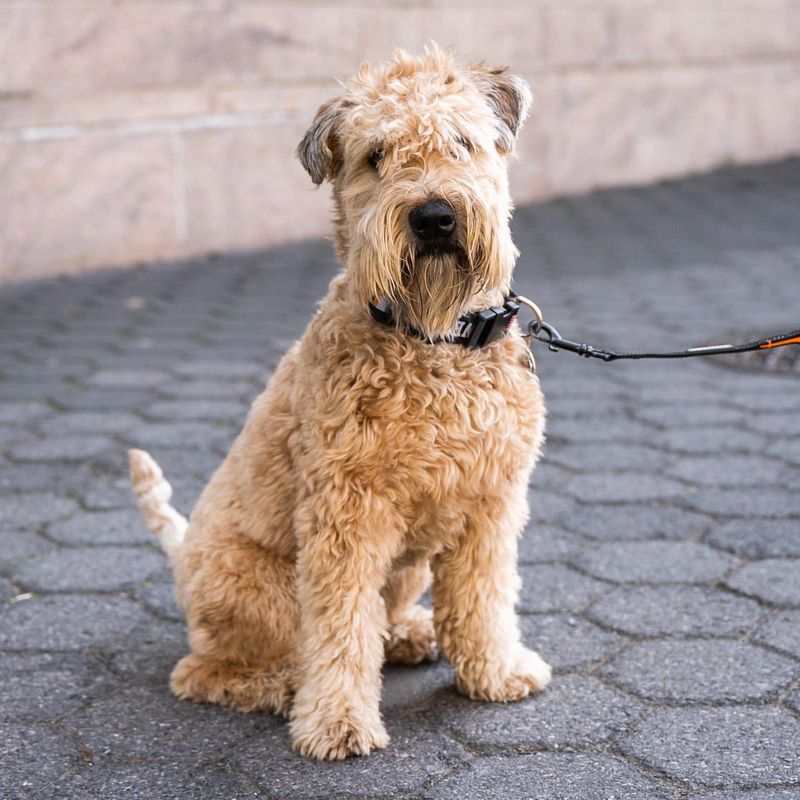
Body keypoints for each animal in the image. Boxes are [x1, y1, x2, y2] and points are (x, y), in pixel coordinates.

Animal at [130, 45, 552, 764]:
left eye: (462, 142)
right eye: (375, 156)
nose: (433, 216)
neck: (433, 341)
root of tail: (183, 558)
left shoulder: (490, 504)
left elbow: (484, 598)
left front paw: (495, 671)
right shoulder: (346, 514)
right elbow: (340, 626)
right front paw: (336, 721)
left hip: (406, 568)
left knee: (384, 615)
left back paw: (409, 634)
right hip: (259, 590)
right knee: (207, 669)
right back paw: (284, 686)